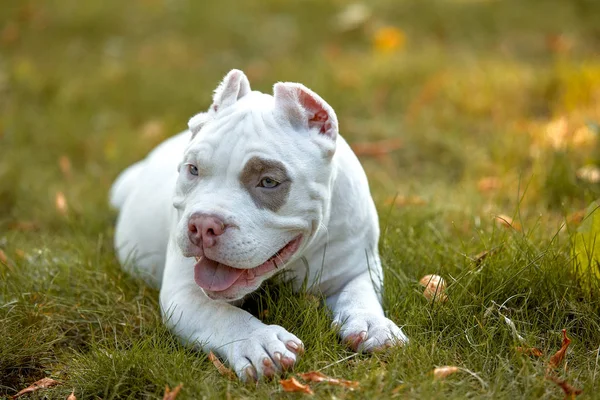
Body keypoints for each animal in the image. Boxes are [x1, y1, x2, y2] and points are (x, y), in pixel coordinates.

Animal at [110, 69, 408, 382]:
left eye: (268, 181)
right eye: (193, 169)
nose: (203, 225)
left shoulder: (357, 266)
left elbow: (359, 294)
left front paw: (373, 324)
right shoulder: (184, 295)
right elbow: (224, 315)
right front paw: (259, 342)